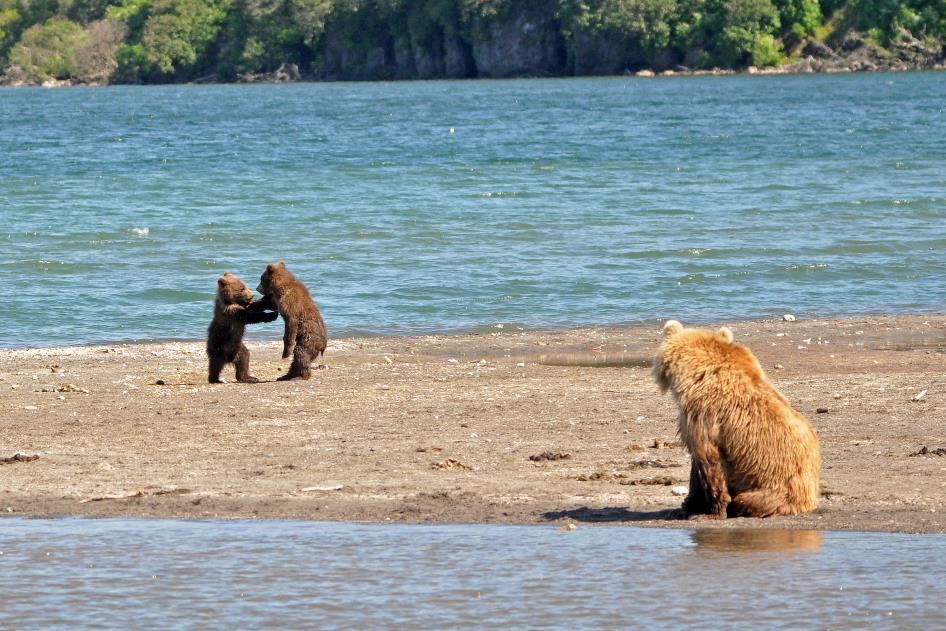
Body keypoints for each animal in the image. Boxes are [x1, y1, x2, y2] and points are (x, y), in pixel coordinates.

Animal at [648, 320, 820, 520]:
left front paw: (709, 511)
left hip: (771, 490)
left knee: (746, 500)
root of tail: (808, 501)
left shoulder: (702, 415)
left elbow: (708, 460)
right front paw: (686, 506)